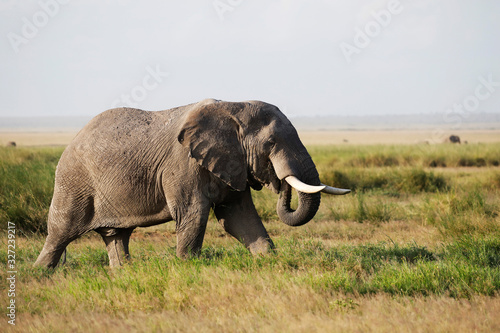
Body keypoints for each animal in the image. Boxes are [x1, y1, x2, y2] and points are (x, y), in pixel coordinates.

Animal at [35, 98, 350, 268]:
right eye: (271, 143)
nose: (279, 183)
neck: (234, 107)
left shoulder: (231, 162)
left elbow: (239, 218)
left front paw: (269, 261)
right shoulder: (182, 164)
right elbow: (194, 215)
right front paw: (188, 267)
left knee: (117, 236)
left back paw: (122, 273)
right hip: (73, 181)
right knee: (59, 233)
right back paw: (39, 274)